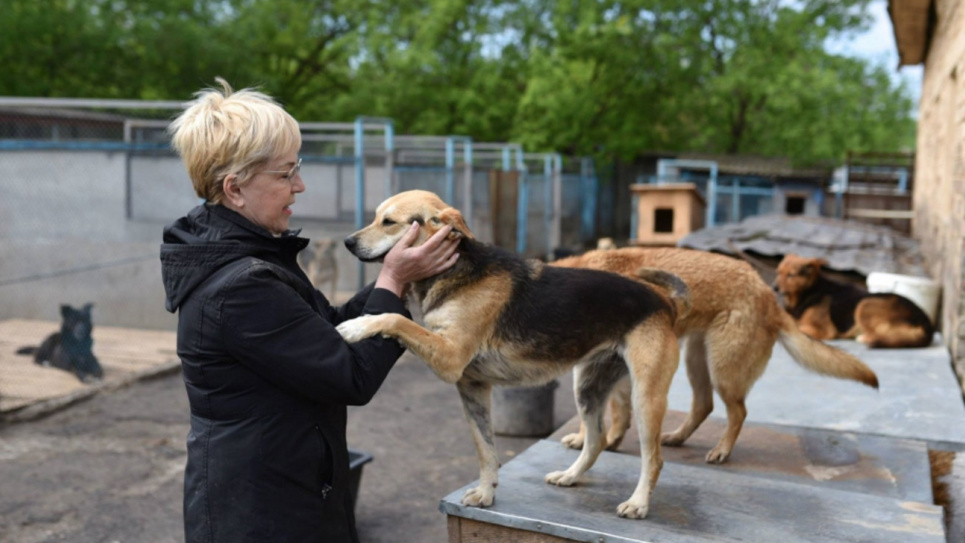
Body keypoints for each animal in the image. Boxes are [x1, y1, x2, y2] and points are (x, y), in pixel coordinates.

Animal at [336, 190, 688, 520]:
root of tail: (665, 301)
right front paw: (486, 493)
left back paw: (638, 503)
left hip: (645, 399)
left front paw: (358, 325)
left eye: (389, 222)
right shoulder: (471, 388)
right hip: (588, 389)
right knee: (596, 440)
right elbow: (486, 450)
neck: (456, 270)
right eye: (376, 217)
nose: (347, 243)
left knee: (654, 458)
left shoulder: (450, 358)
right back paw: (570, 476)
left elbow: (397, 319)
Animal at [548, 249, 876, 466]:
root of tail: (767, 294)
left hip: (722, 370)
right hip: (697, 361)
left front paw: (592, 439)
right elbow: (608, 410)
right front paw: (600, 439)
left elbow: (604, 411)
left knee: (738, 412)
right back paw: (678, 437)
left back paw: (722, 451)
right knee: (704, 405)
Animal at [768, 254, 932, 348]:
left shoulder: (822, 330)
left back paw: (866, 338)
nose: (774, 288)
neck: (809, 291)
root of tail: (925, 321)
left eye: (791, 275)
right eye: (778, 272)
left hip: (865, 304)